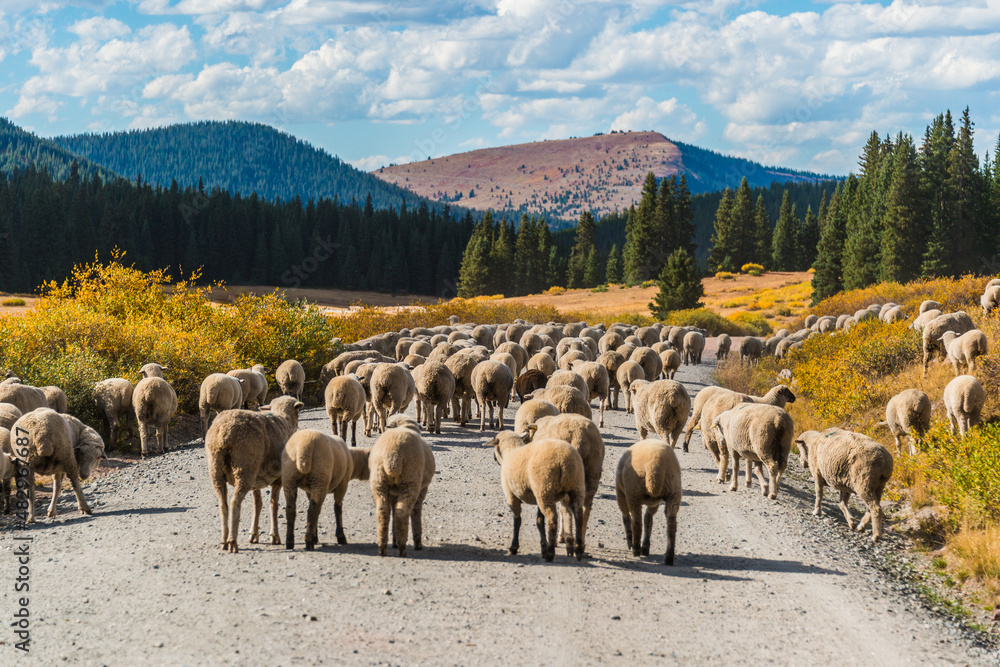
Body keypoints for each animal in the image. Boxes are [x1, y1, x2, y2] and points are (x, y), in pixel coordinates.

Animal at [206, 396, 304, 552]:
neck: (284, 419)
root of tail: (223, 433)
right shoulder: (279, 478)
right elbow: (273, 505)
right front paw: (274, 536)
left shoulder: (256, 481)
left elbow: (257, 504)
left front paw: (253, 535)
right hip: (244, 468)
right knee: (234, 502)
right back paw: (232, 542)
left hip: (217, 469)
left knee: (223, 503)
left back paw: (224, 541)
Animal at [368, 414, 435, 557]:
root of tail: (393, 457)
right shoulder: (422, 489)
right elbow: (416, 511)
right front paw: (417, 543)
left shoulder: (393, 493)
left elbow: (392, 511)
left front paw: (394, 541)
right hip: (410, 482)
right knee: (401, 511)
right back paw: (403, 548)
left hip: (379, 482)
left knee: (383, 511)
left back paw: (383, 547)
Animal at [486, 431, 585, 561]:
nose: (493, 458)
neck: (510, 451)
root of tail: (564, 460)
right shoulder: (537, 496)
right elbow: (539, 521)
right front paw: (542, 547)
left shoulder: (511, 496)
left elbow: (517, 521)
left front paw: (513, 548)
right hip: (574, 487)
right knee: (579, 515)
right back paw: (578, 551)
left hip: (545, 489)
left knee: (552, 518)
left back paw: (550, 553)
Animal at [530, 413, 604, 552]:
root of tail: (578, 435)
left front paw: (559, 539)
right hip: (593, 472)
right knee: (585, 507)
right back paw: (581, 542)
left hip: (567, 473)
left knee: (566, 507)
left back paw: (567, 541)